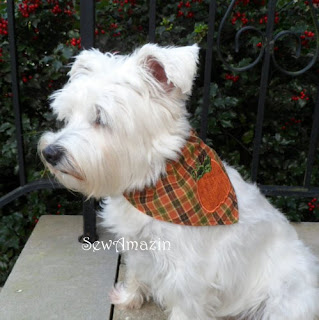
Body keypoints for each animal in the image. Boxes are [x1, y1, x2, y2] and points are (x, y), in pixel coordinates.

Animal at [38, 44, 319, 320]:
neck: (150, 183)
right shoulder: (138, 247)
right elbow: (136, 273)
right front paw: (129, 298)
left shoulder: (189, 277)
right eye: (68, 116)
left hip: (287, 298)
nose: (49, 153)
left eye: (100, 118)